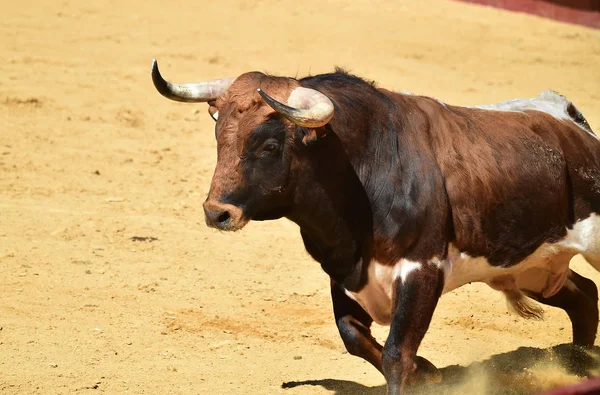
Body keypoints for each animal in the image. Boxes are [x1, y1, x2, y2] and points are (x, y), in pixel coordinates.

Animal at [151, 59, 600, 395]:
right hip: (532, 266)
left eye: (270, 146)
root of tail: (568, 120)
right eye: (219, 135)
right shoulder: (344, 272)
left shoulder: (421, 269)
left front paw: (417, 369)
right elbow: (355, 339)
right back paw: (577, 368)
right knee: (583, 296)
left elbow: (396, 353)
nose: (217, 212)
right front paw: (429, 371)